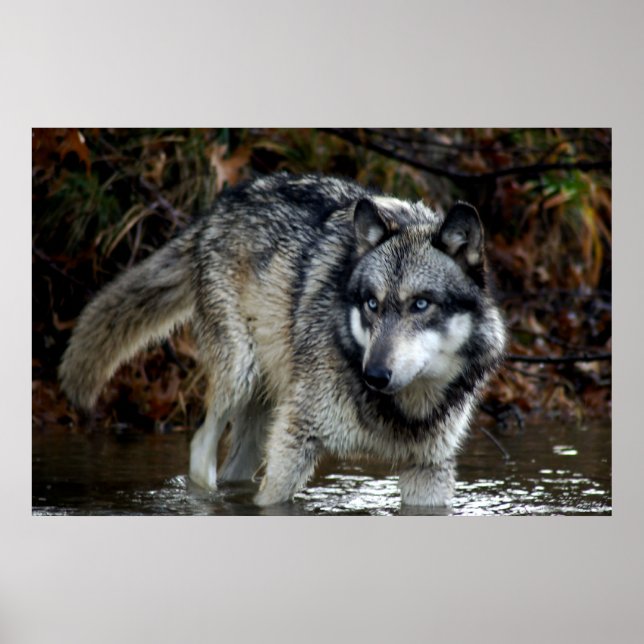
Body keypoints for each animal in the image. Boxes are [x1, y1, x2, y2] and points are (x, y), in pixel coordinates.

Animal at [59, 173, 506, 508]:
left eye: (421, 304)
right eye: (371, 304)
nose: (375, 375)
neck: (400, 409)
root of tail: (215, 211)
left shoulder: (428, 471)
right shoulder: (294, 443)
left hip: (261, 420)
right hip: (240, 378)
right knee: (200, 445)